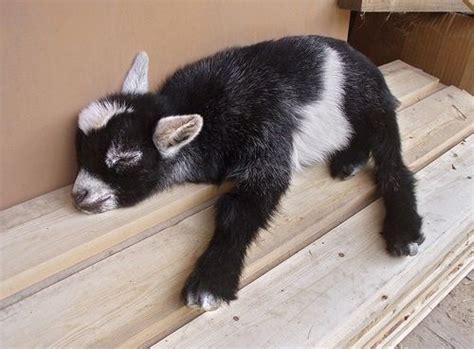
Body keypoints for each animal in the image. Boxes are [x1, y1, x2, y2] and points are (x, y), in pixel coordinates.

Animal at [73, 36, 422, 310]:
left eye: (125, 159)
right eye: (81, 146)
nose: (79, 195)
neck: (209, 116)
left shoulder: (268, 135)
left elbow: (240, 208)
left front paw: (211, 281)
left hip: (371, 102)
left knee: (392, 161)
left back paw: (403, 230)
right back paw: (349, 161)